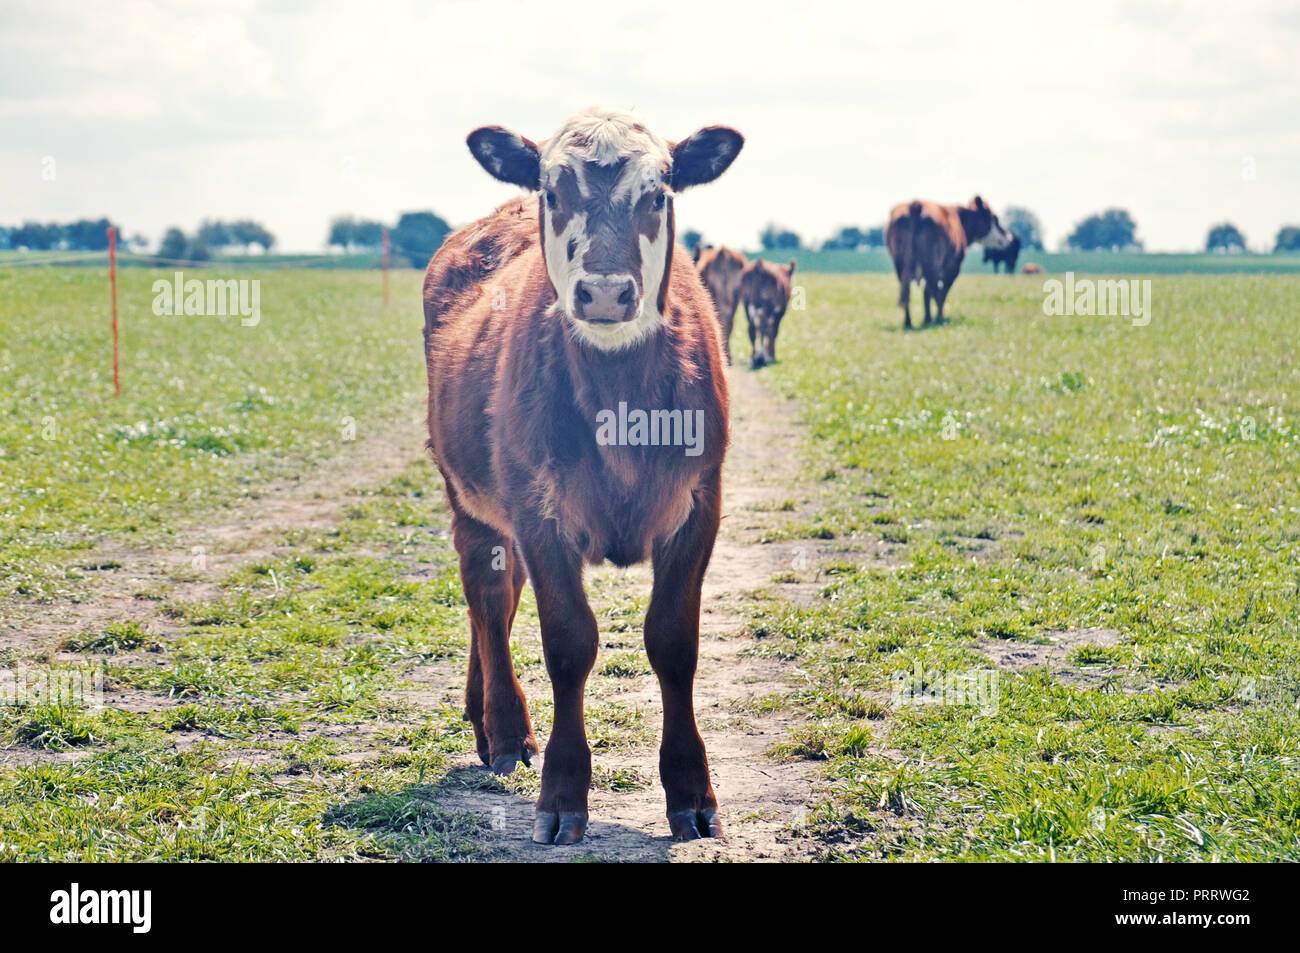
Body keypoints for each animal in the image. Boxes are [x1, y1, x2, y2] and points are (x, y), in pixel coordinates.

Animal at [422, 107, 743, 845]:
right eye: (553, 192)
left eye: (659, 194)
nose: (602, 292)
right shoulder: (540, 514)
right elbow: (568, 643)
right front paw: (563, 794)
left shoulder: (699, 504)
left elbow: (673, 641)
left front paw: (691, 790)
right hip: (468, 495)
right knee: (486, 596)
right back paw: (506, 728)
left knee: (500, 597)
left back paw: (480, 711)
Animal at [886, 196, 1013, 329]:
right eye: (995, 219)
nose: (1009, 237)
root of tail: (916, 205)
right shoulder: (953, 267)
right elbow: (942, 292)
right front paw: (936, 317)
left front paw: (928, 318)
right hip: (932, 265)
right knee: (934, 290)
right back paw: (938, 318)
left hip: (901, 265)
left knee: (908, 291)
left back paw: (909, 322)